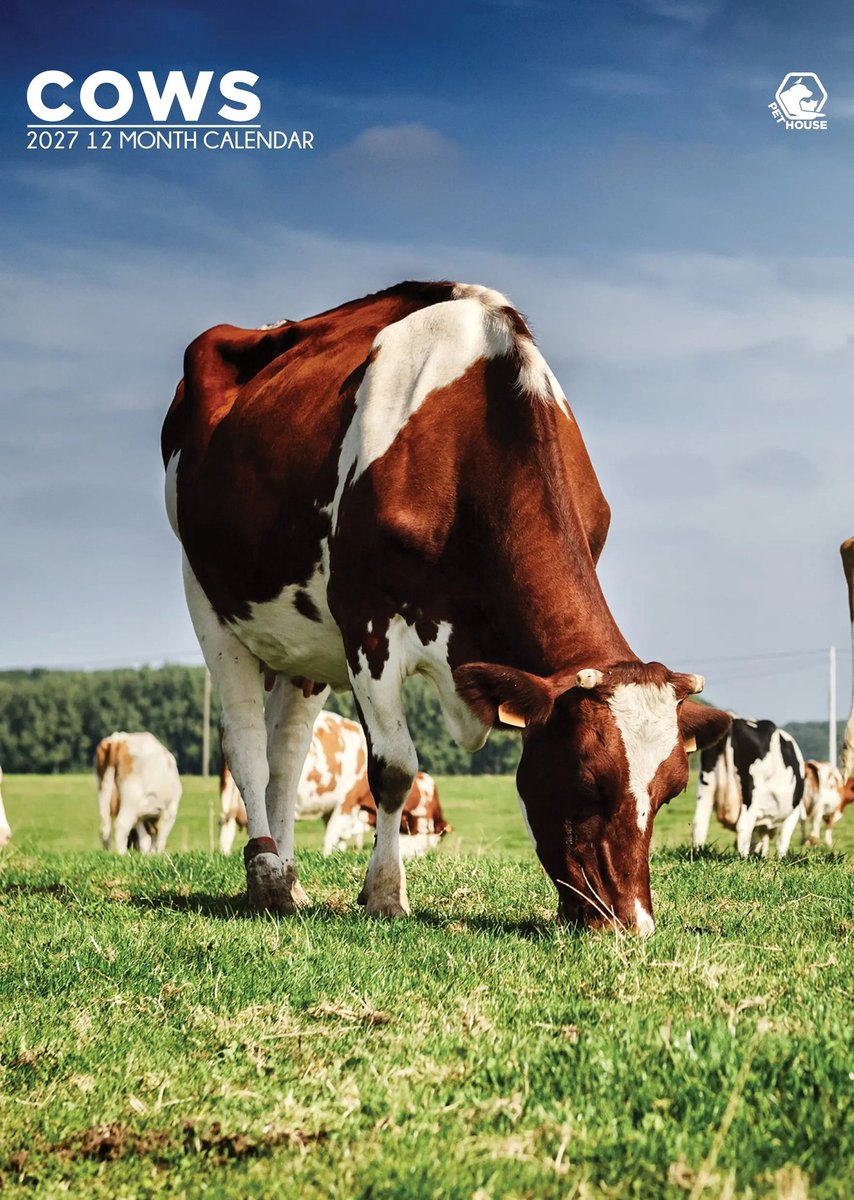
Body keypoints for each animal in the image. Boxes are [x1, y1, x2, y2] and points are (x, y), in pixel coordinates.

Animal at [163, 280, 728, 933]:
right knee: (247, 744)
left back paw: (291, 879)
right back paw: (266, 875)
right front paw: (386, 894)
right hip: (207, 600)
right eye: (586, 780)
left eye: (671, 790)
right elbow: (394, 768)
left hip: (304, 643)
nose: (632, 925)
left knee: (287, 754)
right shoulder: (368, 624)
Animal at [692, 717, 805, 857]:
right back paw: (744, 858)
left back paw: (697, 855)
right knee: (744, 826)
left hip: (706, 787)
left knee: (699, 823)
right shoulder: (794, 812)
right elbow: (782, 840)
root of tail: (734, 721)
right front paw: (780, 858)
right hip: (750, 793)